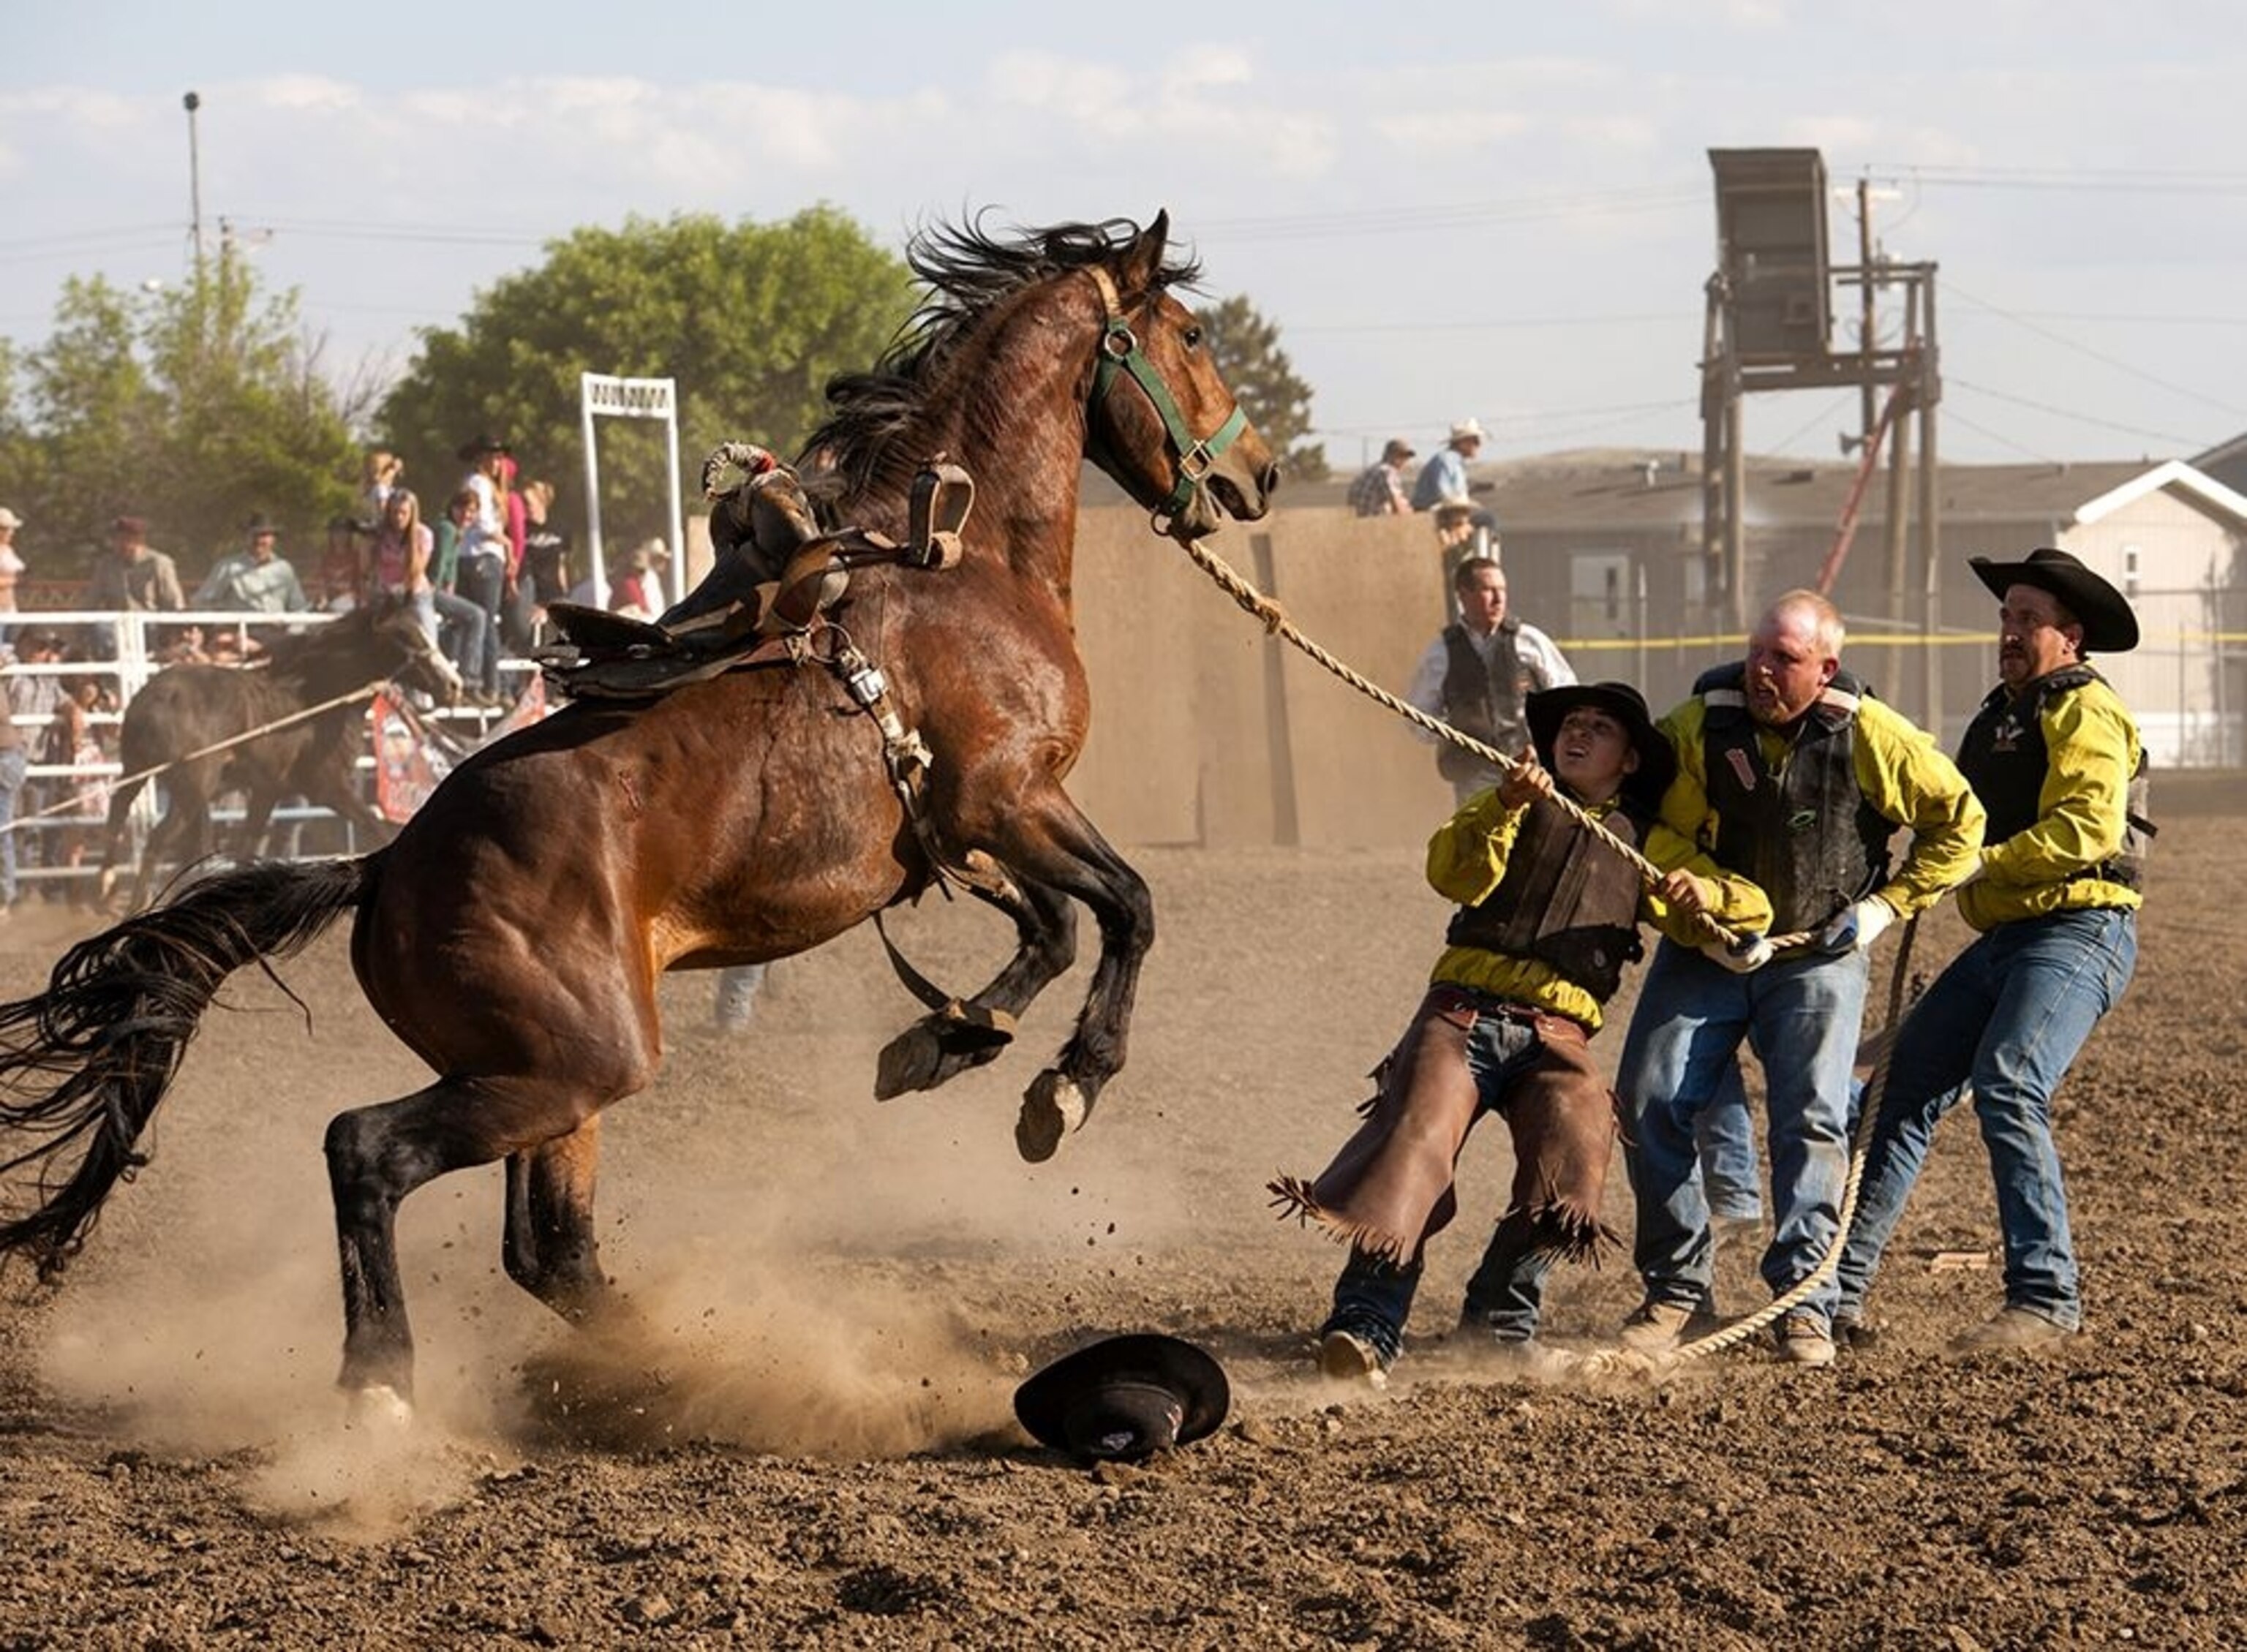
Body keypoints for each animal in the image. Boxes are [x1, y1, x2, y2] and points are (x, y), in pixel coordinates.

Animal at [95, 599, 465, 912]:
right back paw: (134, 908)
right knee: (156, 840)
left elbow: (246, 848)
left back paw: (107, 888)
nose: (454, 685)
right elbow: (376, 827)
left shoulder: (267, 791)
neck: (317, 699)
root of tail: (152, 698)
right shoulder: (327, 787)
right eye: (404, 634)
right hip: (190, 791)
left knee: (116, 816)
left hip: (137, 773)